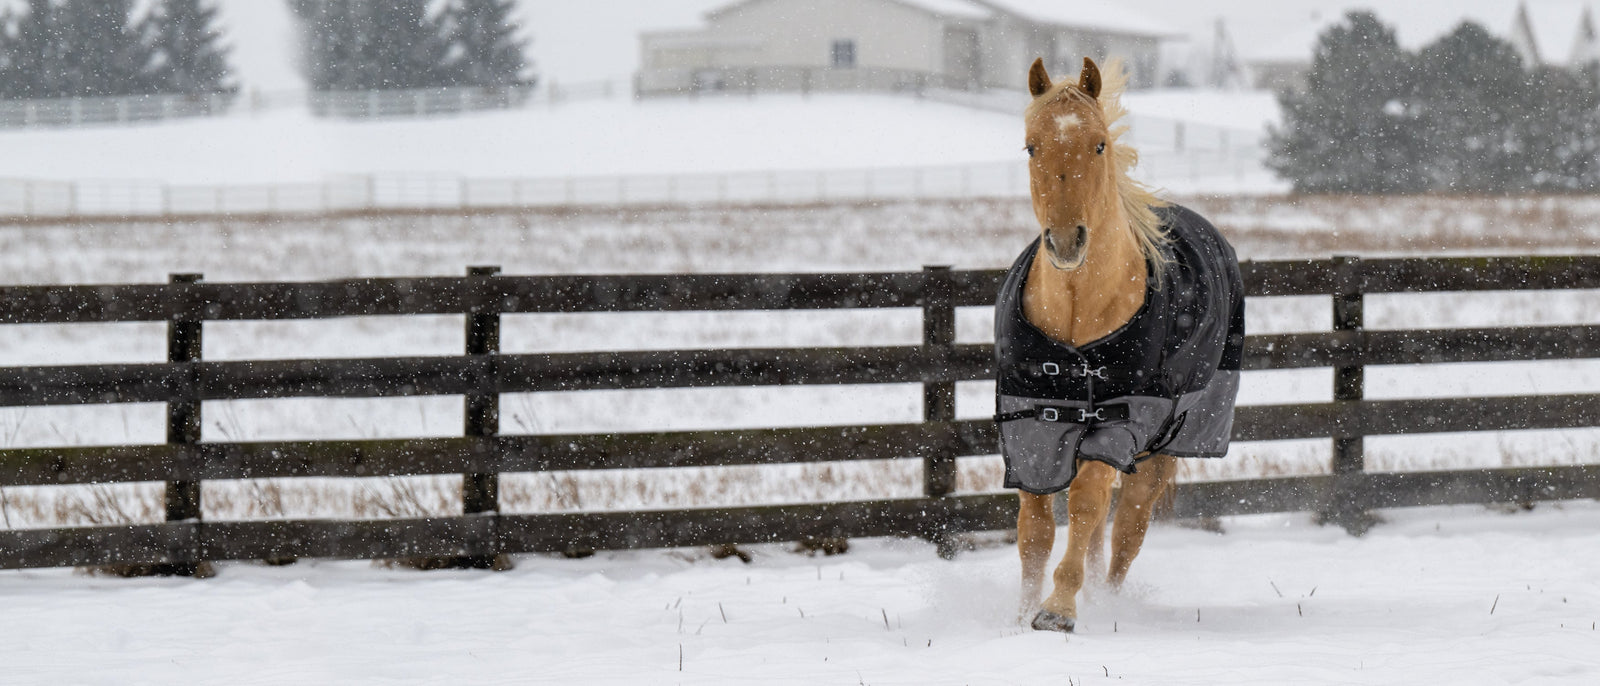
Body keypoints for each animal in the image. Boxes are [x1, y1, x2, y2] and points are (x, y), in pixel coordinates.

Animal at [996, 57, 1245, 633]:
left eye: (1099, 145)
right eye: (1031, 146)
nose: (1067, 242)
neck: (1077, 312)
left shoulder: (1120, 422)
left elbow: (1087, 505)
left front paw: (1057, 610)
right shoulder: (1031, 424)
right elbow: (1035, 530)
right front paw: (1020, 616)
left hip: (1160, 447)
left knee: (1128, 531)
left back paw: (1106, 602)